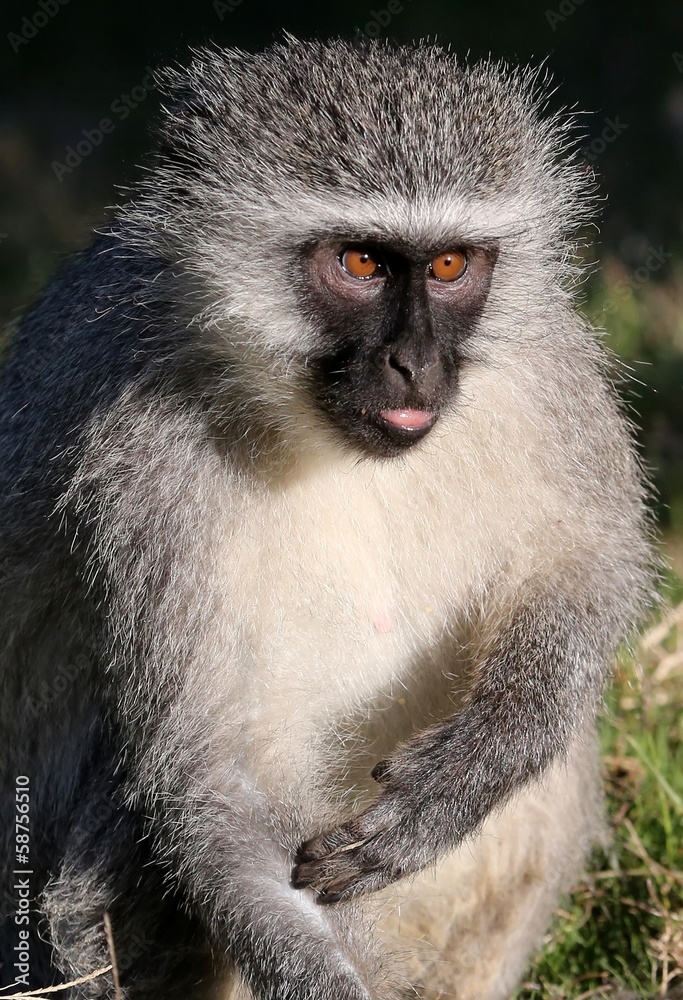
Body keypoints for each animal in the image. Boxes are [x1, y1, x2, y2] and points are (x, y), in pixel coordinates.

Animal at [0, 35, 654, 1000]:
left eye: (449, 266)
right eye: (359, 264)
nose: (415, 362)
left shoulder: (551, 368)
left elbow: (588, 569)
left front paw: (472, 766)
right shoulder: (143, 457)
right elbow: (206, 770)